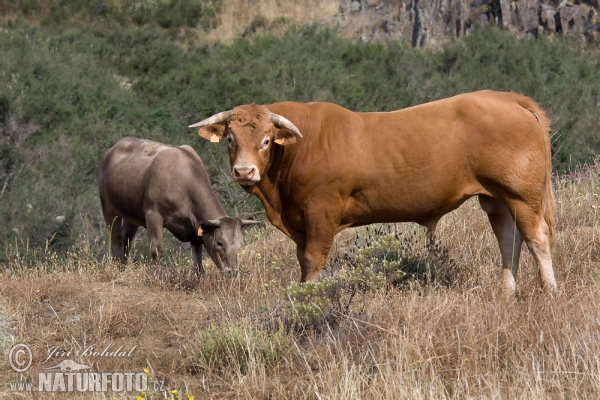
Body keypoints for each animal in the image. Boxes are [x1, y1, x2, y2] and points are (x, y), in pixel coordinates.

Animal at [98, 138, 258, 276]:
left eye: (240, 244)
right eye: (219, 242)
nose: (232, 272)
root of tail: (116, 144)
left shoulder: (194, 226)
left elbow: (197, 250)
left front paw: (200, 275)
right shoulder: (153, 214)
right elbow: (157, 248)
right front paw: (155, 275)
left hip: (131, 213)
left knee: (127, 238)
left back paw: (122, 267)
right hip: (107, 206)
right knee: (116, 239)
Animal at [191, 90, 556, 292]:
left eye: (267, 140)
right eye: (230, 139)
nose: (244, 171)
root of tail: (505, 97)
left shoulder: (321, 211)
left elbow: (313, 260)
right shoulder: (300, 223)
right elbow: (302, 260)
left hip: (521, 194)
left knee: (536, 237)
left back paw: (549, 291)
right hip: (495, 198)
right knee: (509, 239)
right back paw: (507, 292)